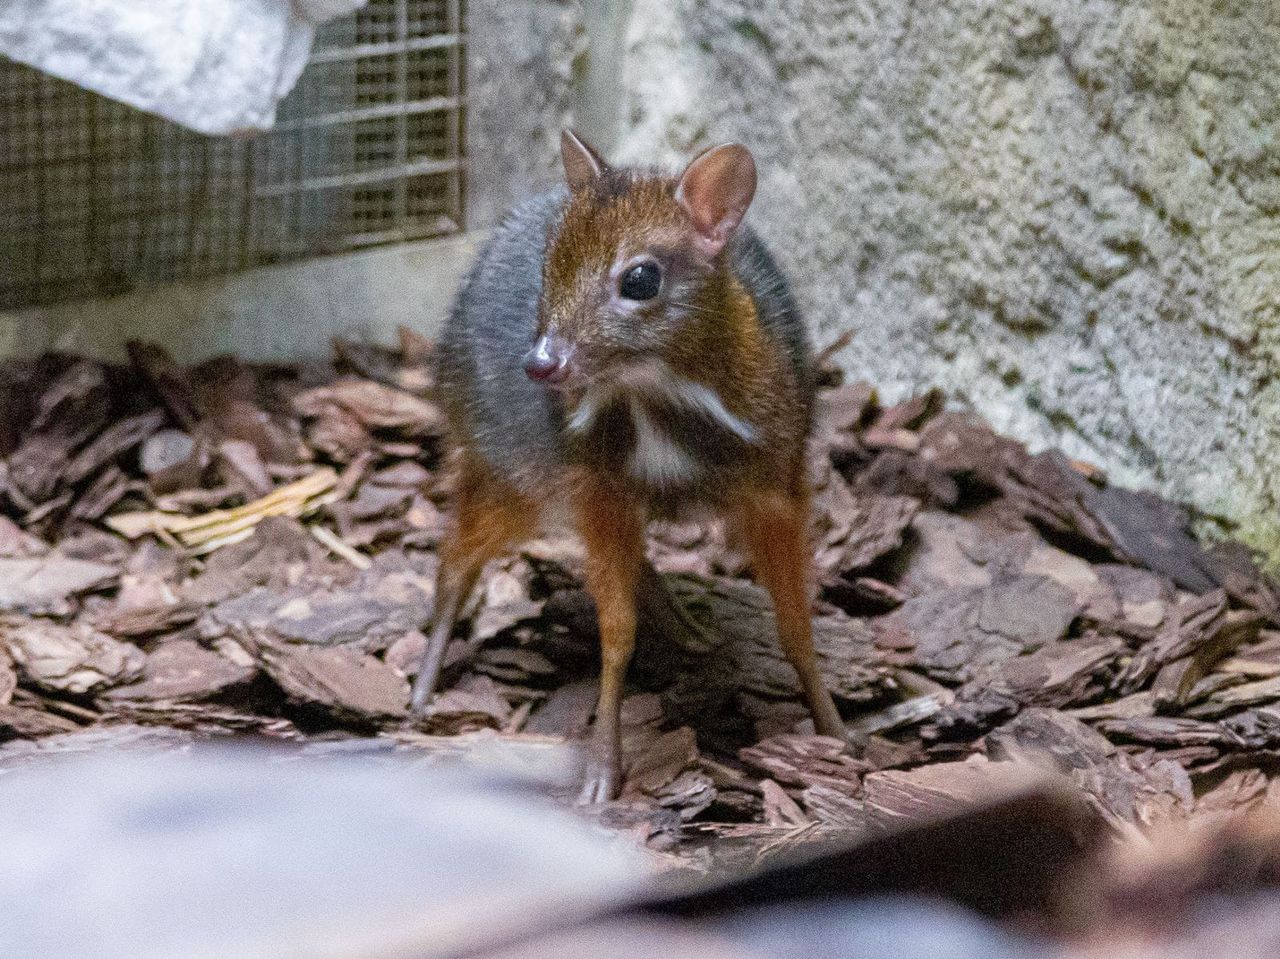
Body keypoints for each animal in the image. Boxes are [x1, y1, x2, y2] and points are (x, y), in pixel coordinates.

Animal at [412, 127, 849, 798]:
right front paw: (600, 769)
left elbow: (797, 629)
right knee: (456, 560)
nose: (542, 363)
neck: (657, 398)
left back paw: (691, 629)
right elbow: (615, 635)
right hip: (509, 469)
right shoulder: (598, 490)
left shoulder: (778, 486)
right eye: (550, 266)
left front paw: (837, 732)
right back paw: (421, 690)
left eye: (640, 280)